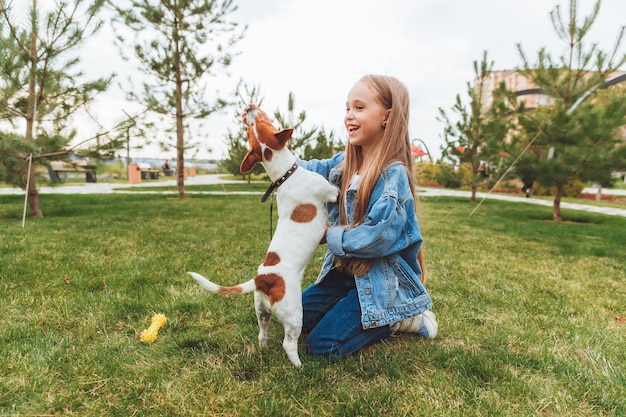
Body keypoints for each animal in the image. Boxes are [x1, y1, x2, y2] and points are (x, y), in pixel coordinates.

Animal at [188, 102, 336, 366]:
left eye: (252, 127)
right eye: (261, 123)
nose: (248, 108)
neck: (284, 175)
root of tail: (262, 279)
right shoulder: (331, 192)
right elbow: (336, 188)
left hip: (261, 312)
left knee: (262, 334)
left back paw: (264, 349)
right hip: (294, 315)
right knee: (288, 343)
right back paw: (299, 366)